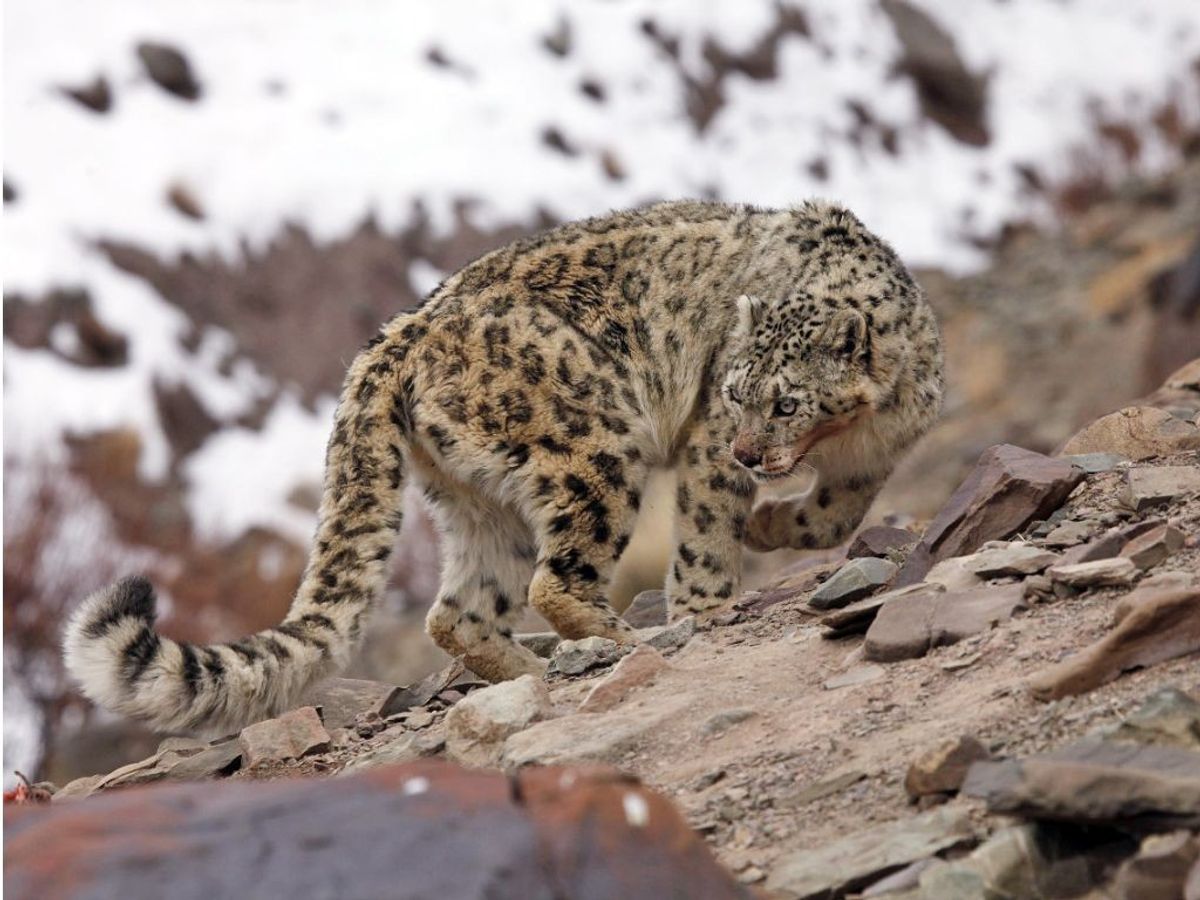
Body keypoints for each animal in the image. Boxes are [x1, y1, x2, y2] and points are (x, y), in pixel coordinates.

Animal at [64, 199, 944, 735]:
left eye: (786, 402)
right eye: (733, 390)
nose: (748, 453)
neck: (851, 432)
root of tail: (395, 338)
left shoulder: (879, 452)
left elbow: (835, 515)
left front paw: (773, 523)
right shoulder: (703, 445)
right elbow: (703, 537)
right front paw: (713, 596)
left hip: (477, 500)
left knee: (459, 611)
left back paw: (532, 665)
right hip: (597, 442)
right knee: (555, 578)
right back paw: (613, 637)